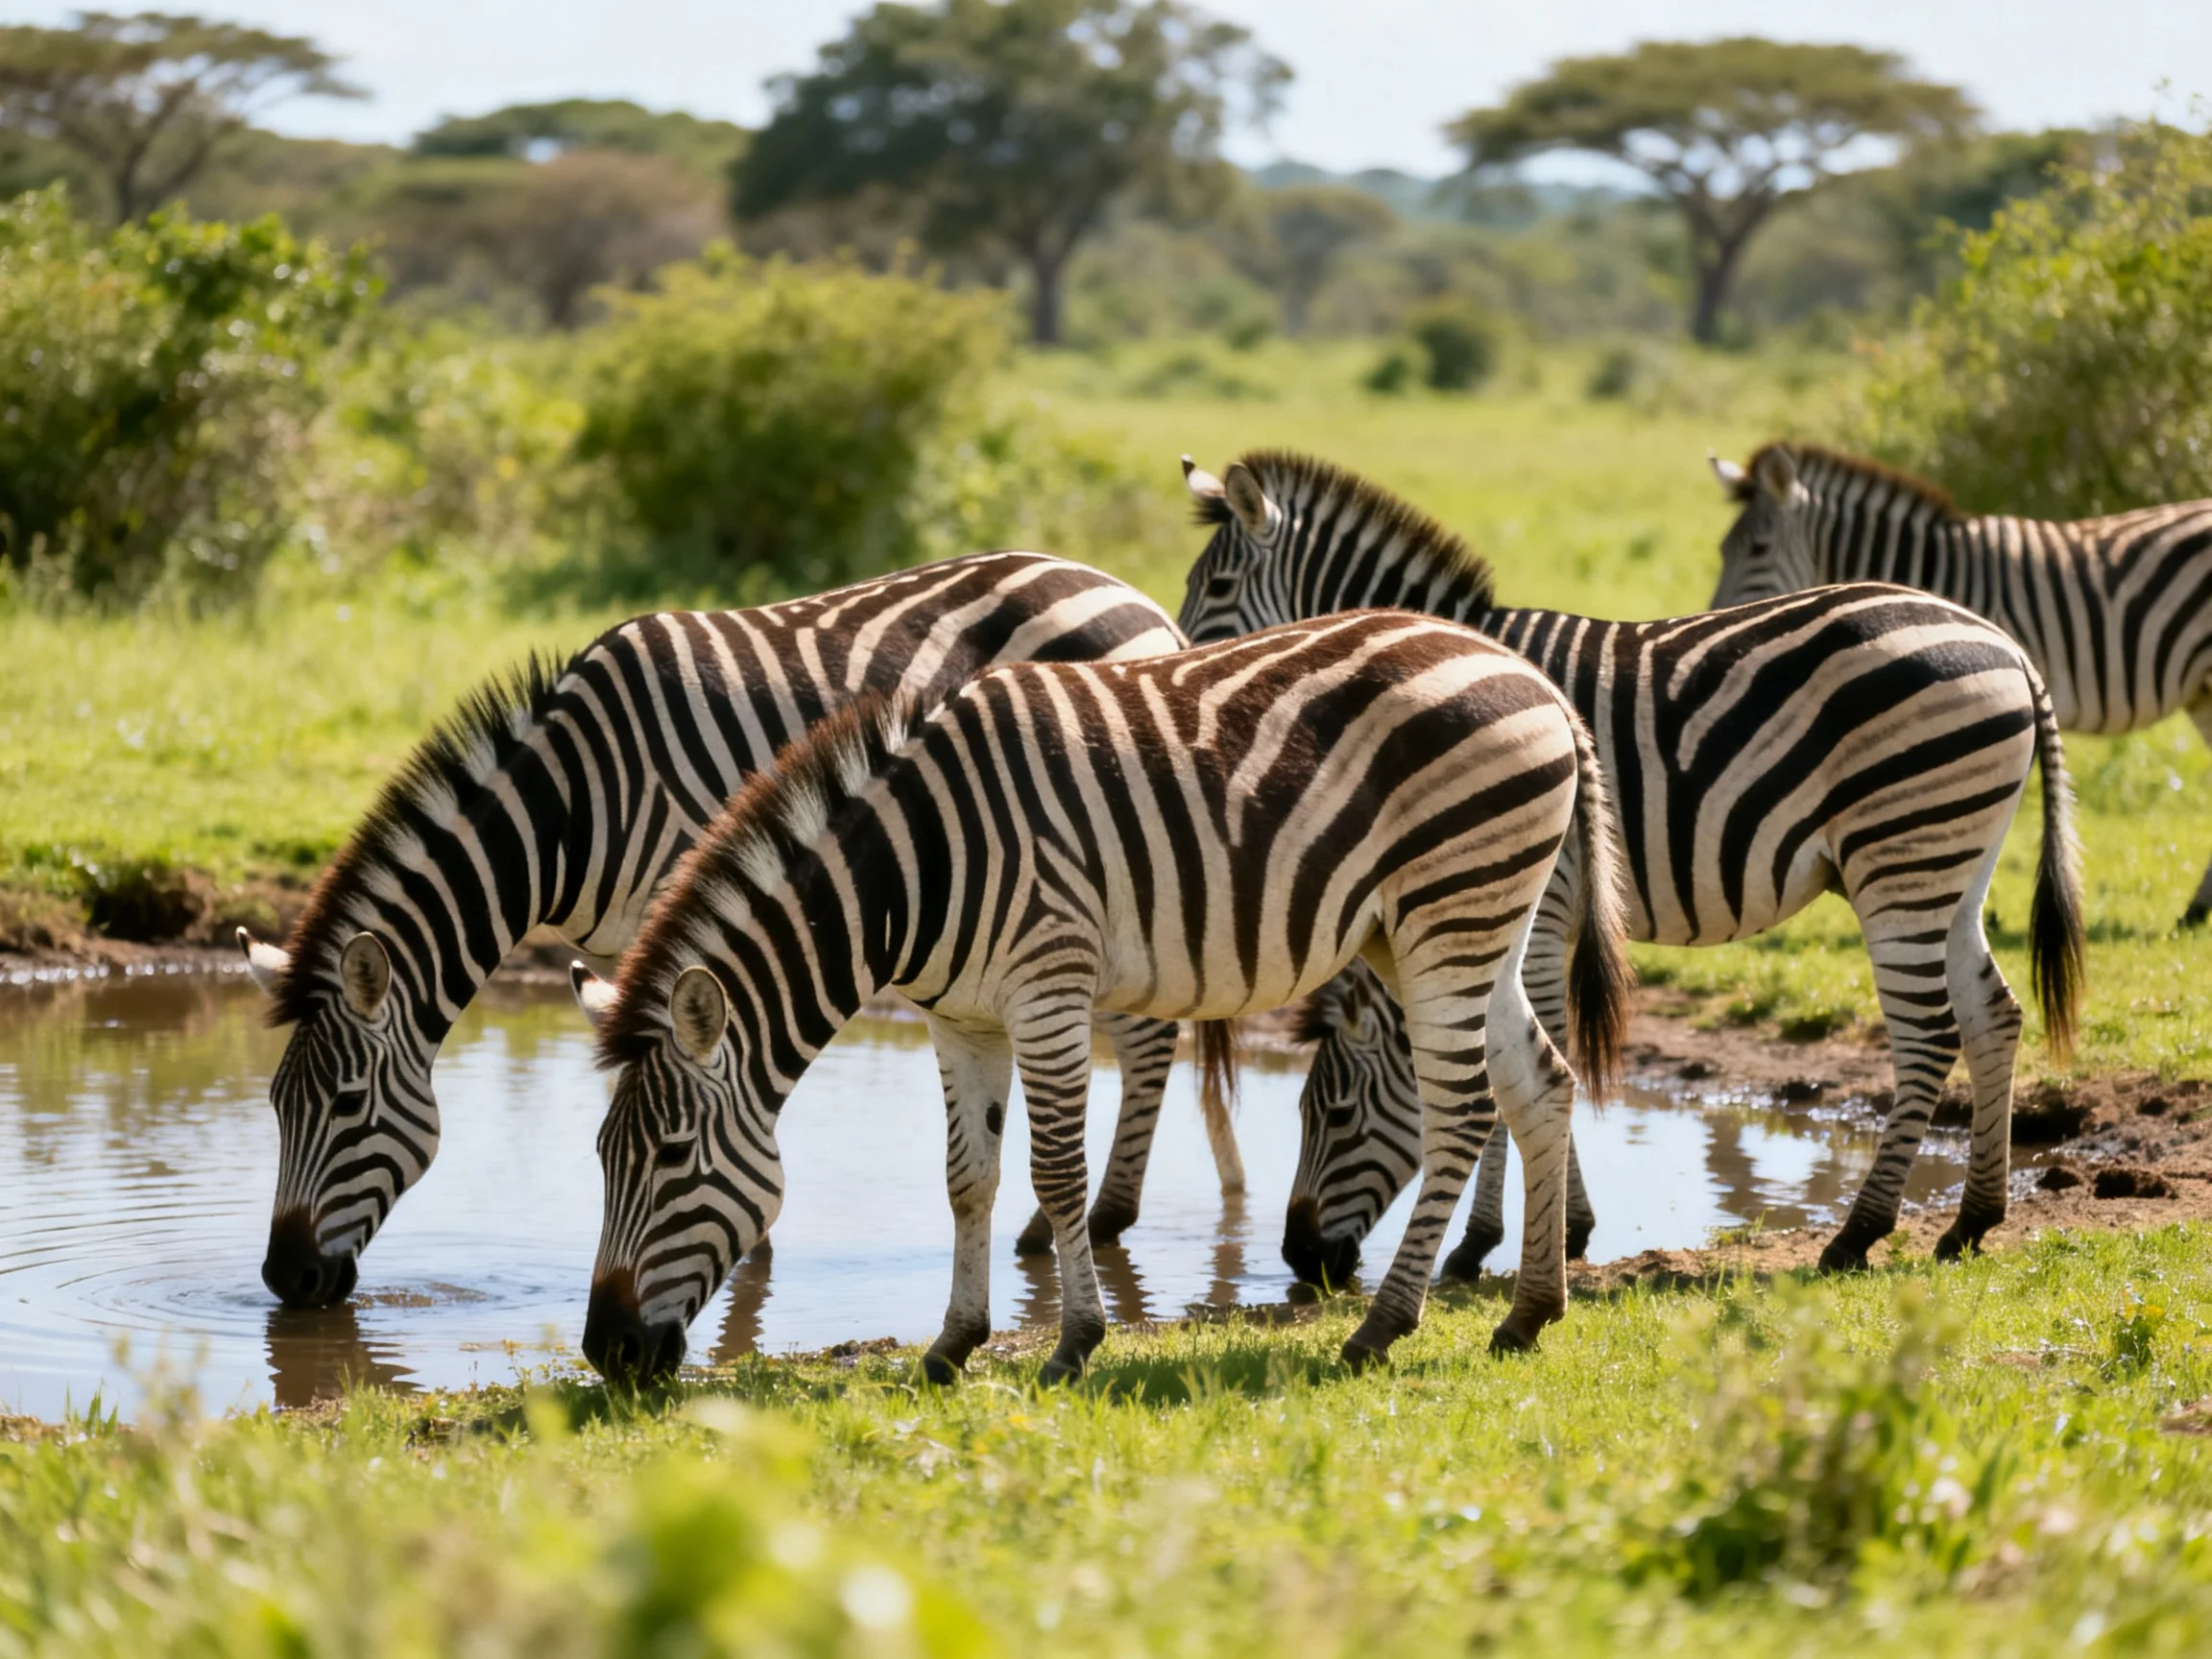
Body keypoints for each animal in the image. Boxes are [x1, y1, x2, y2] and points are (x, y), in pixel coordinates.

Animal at [234, 550, 1221, 1310]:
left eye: (346, 1105)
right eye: (275, 1108)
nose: (286, 1282)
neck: (572, 808)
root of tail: (1130, 593)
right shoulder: (625, 949)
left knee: (1148, 1039)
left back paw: (1095, 1221)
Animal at [571, 610, 1632, 1383]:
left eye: (671, 1158)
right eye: (600, 1160)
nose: (603, 1353)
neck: (914, 873)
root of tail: (1535, 679)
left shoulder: (1048, 988)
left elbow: (1056, 1176)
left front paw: (1074, 1345)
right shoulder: (959, 1018)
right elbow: (968, 1178)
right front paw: (951, 1348)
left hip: (1449, 914)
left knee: (1462, 1110)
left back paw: (1381, 1328)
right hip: (1466, 925)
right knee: (1540, 1081)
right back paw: (1529, 1315)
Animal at [1177, 450, 2085, 1282]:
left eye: (1331, 1113)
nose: (1300, 1261)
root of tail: (2003, 644)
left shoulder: (1535, 900)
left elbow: (1522, 1064)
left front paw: (1502, 1242)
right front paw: (1548, 1233)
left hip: (1900, 854)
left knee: (1929, 1034)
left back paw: (1857, 1234)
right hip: (1953, 861)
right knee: (1993, 1012)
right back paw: (1971, 1222)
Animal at [1711, 441, 2212, 923]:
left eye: (1757, 549)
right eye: (1722, 551)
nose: (1715, 617)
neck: (1936, 575)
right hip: (2202, 692)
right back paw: (2195, 911)